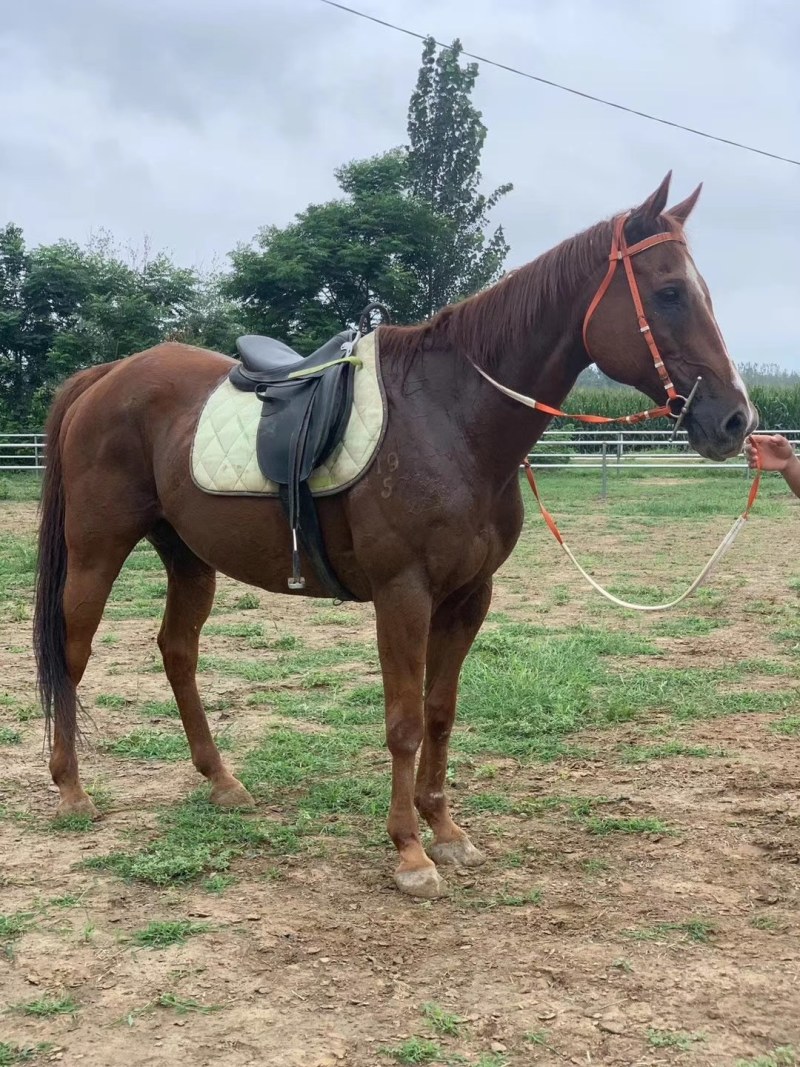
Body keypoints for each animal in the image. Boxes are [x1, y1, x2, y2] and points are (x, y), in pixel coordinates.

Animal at [34, 173, 756, 898]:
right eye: (669, 292)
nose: (735, 420)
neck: (452, 416)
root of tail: (107, 376)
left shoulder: (468, 597)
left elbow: (439, 709)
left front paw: (445, 828)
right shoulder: (403, 593)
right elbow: (404, 721)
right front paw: (409, 850)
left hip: (188, 557)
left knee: (178, 651)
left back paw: (222, 781)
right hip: (98, 550)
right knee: (72, 652)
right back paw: (71, 790)